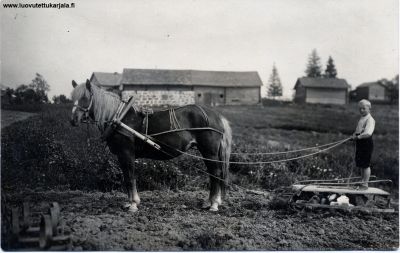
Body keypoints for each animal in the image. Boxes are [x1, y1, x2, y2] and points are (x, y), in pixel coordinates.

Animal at [69, 79, 231, 211]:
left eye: (85, 97)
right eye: (73, 98)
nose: (73, 120)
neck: (119, 118)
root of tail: (216, 115)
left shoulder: (126, 153)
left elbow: (130, 178)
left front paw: (133, 204)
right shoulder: (122, 156)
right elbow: (126, 177)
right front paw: (129, 202)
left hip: (209, 151)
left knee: (216, 173)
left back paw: (214, 204)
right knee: (213, 174)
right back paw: (209, 202)